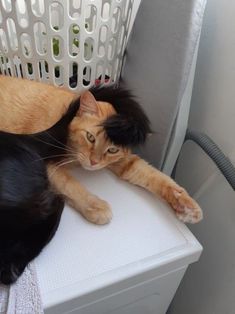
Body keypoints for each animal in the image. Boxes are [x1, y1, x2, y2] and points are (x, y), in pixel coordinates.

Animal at [0, 75, 202, 224]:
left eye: (112, 150)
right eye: (90, 137)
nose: (94, 162)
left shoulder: (125, 162)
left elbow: (154, 176)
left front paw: (185, 205)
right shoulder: (47, 163)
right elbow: (70, 184)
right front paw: (96, 206)